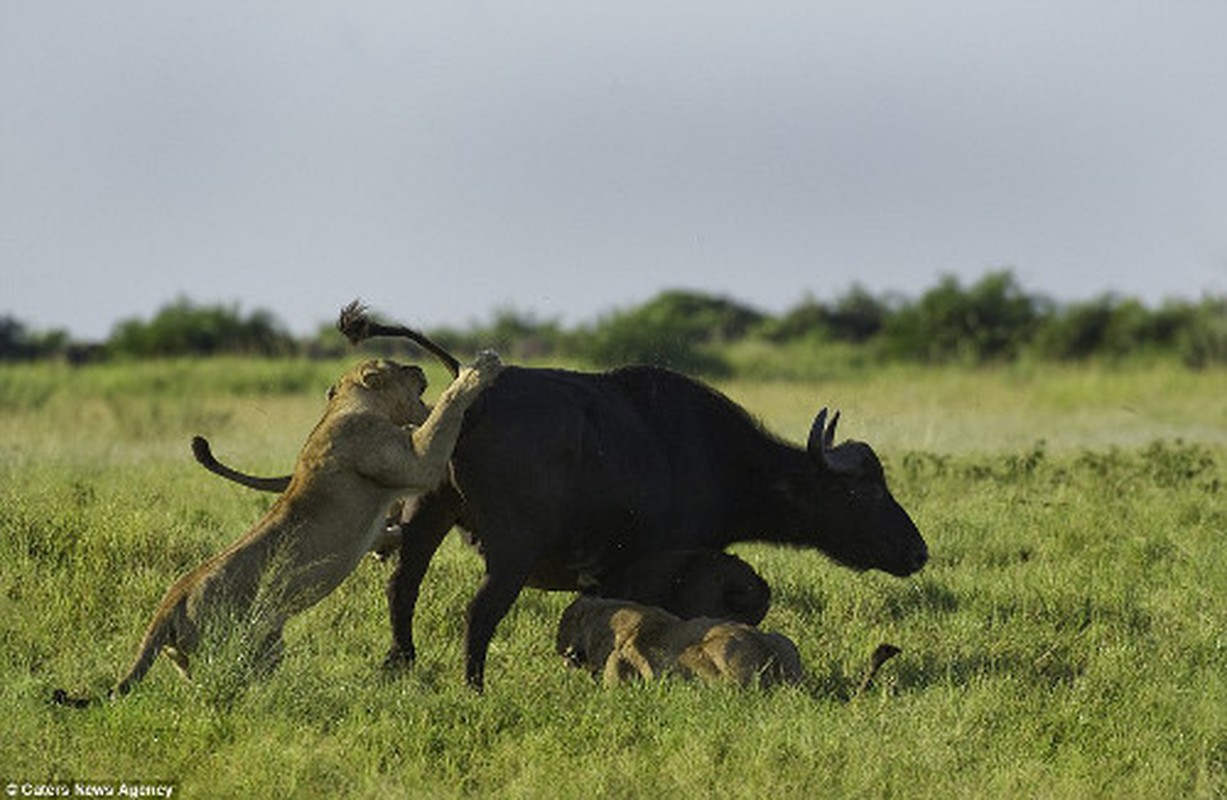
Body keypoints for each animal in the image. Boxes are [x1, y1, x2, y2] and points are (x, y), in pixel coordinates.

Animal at [52, 353, 503, 701]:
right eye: (401, 368)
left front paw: (388, 543)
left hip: (204, 656)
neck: (345, 408)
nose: (420, 368)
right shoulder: (414, 459)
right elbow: (442, 414)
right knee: (234, 682)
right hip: (247, 641)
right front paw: (477, 370)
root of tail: (169, 603)